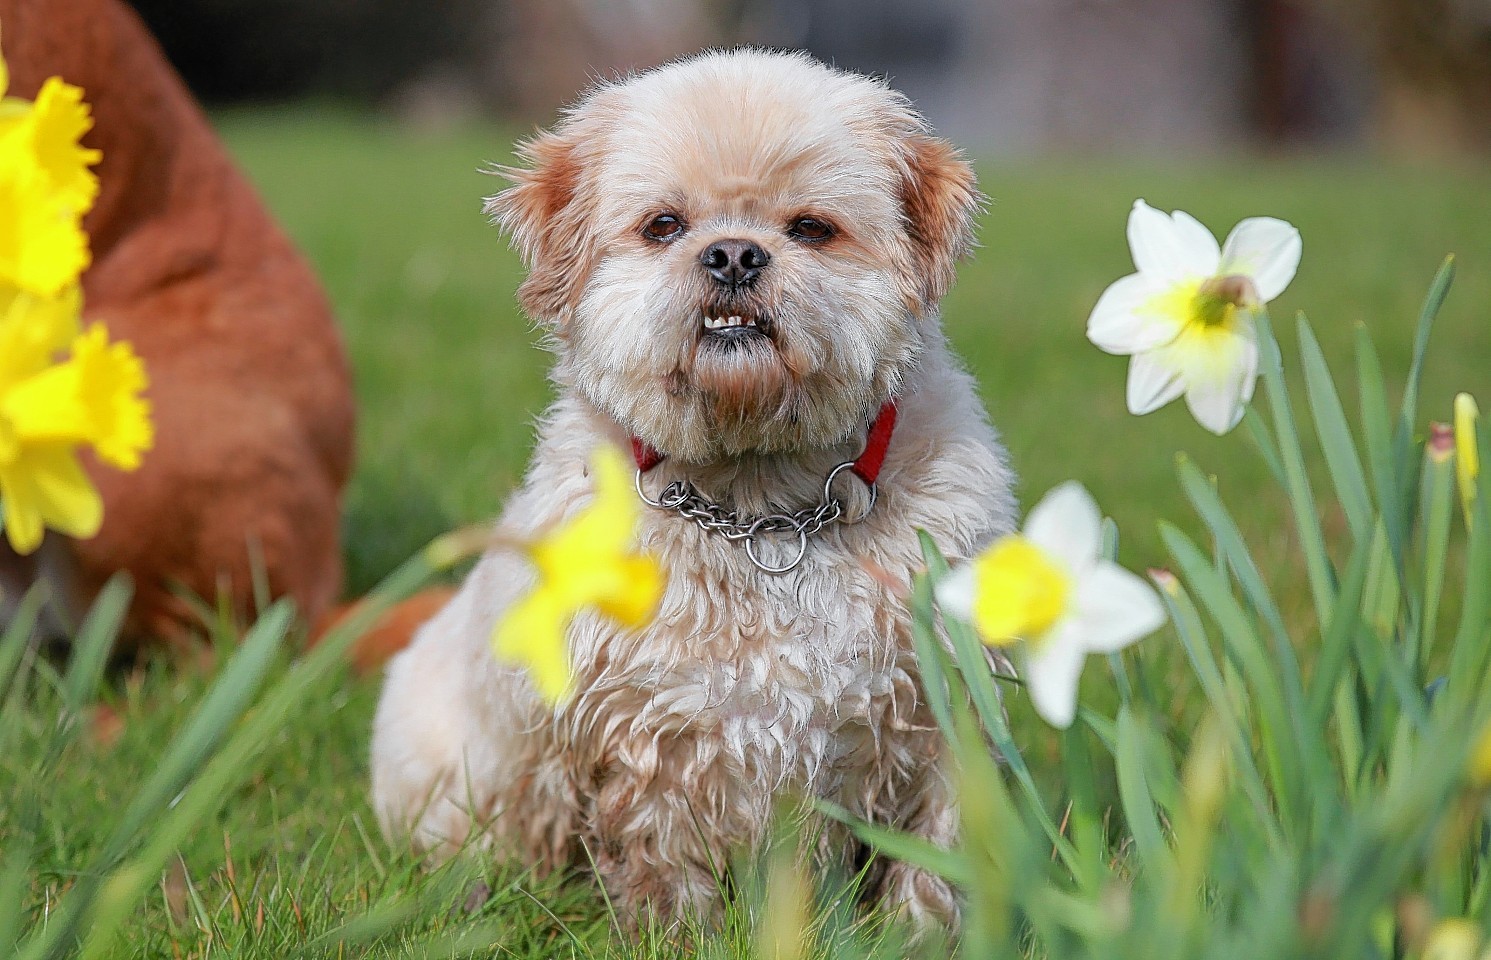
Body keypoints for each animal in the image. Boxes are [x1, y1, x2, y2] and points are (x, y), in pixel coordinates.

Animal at [368, 50, 1019, 930]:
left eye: (810, 228)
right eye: (664, 226)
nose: (735, 254)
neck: (761, 505)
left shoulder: (940, 709)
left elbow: (934, 862)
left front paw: (919, 934)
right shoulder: (650, 734)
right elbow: (663, 866)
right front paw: (676, 934)